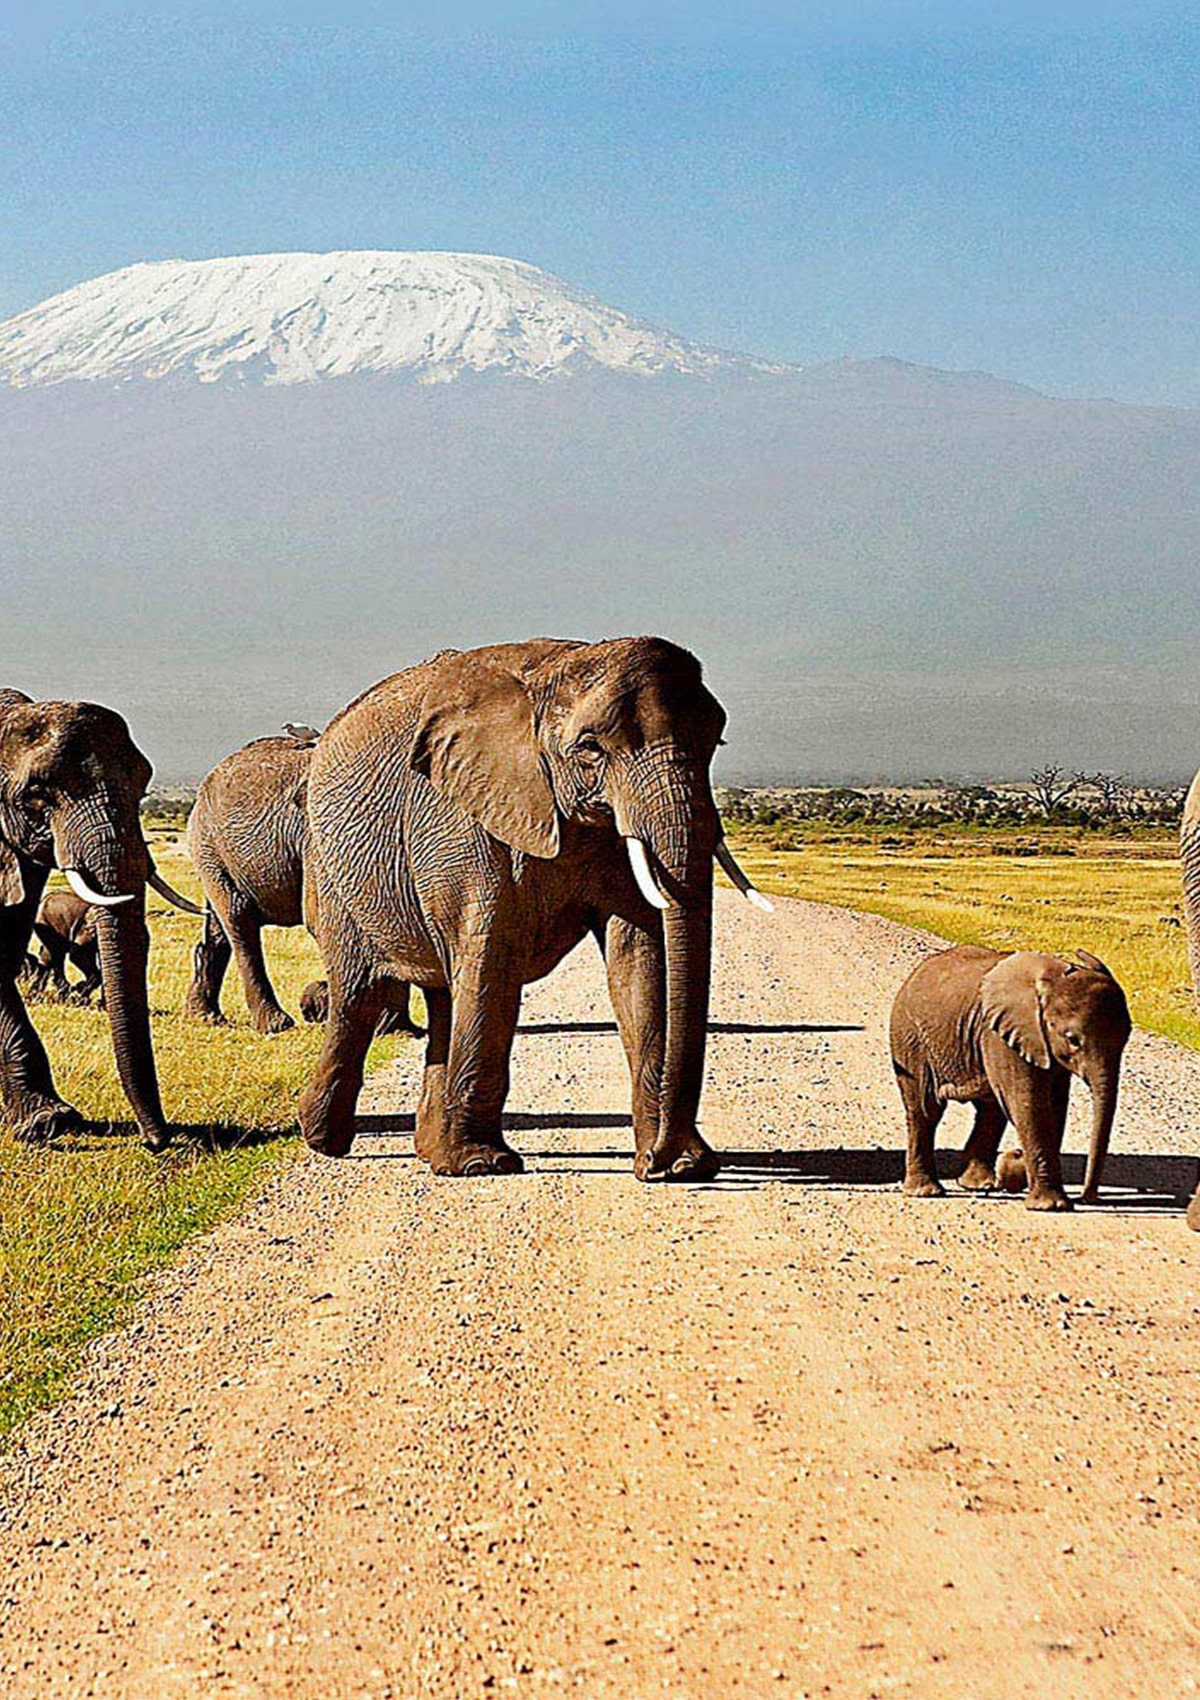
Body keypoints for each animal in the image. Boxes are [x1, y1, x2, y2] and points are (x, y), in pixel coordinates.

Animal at [181, 731, 416, 1033]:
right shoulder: (318, 841)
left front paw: (398, 1029)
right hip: (208, 847)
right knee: (238, 918)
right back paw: (275, 1024)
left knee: (218, 928)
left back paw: (205, 1017)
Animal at [299, 632, 768, 1176]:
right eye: (590, 748)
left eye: (715, 743)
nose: (660, 1158)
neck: (558, 668)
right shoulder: (462, 817)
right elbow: (493, 957)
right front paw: (482, 1165)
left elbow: (639, 956)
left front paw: (683, 1166)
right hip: (331, 872)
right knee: (359, 995)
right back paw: (325, 1141)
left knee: (442, 995)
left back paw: (428, 1151)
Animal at [890, 945, 1128, 1210]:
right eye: (1073, 1039)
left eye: (1127, 1036)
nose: (1088, 1198)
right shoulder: (1001, 1036)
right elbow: (1029, 1105)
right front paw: (1051, 1206)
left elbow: (1054, 1107)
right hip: (909, 1038)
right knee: (925, 1110)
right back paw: (926, 1191)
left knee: (990, 1109)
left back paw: (979, 1184)